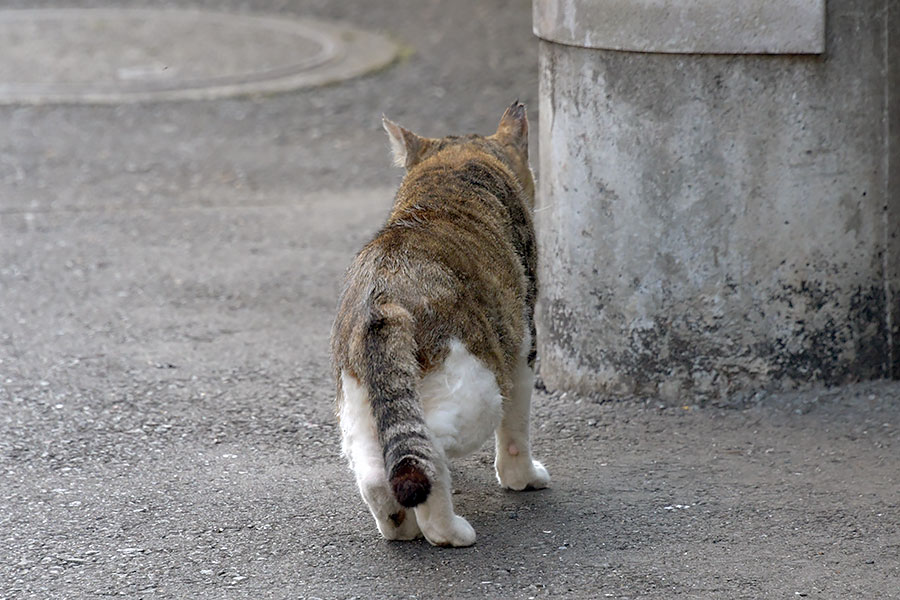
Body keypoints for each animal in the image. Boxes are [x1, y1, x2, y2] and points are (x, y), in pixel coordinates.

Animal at [330, 101, 548, 548]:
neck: (450, 172)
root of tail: (383, 295)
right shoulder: (523, 344)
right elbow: (516, 430)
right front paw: (523, 478)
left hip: (360, 402)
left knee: (376, 470)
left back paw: (399, 525)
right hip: (479, 385)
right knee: (428, 452)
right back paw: (446, 530)